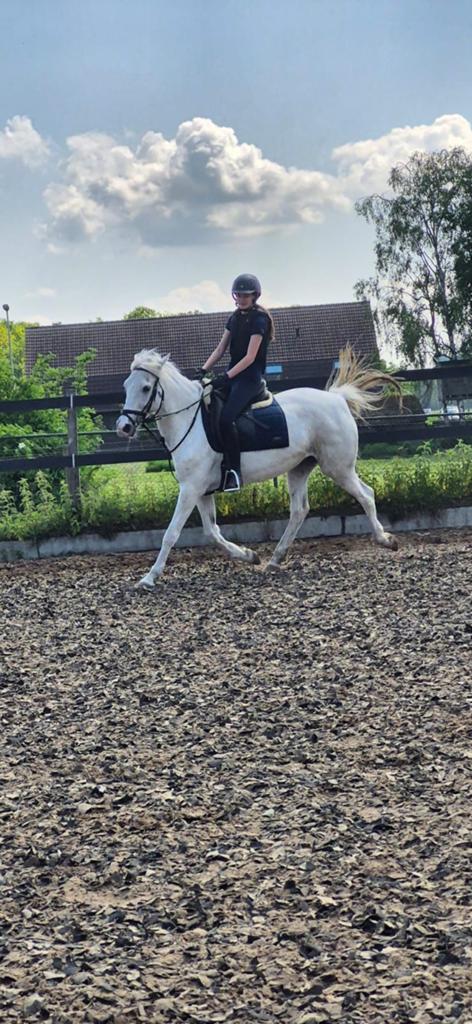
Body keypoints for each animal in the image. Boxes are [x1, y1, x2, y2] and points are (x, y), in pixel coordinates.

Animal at [116, 347, 402, 587]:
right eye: (126, 386)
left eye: (145, 388)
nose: (124, 427)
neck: (190, 421)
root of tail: (338, 399)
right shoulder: (200, 491)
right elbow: (211, 531)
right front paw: (249, 555)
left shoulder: (190, 489)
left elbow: (171, 533)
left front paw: (149, 578)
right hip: (300, 468)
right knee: (299, 510)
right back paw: (275, 559)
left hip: (338, 467)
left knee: (366, 495)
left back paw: (385, 540)